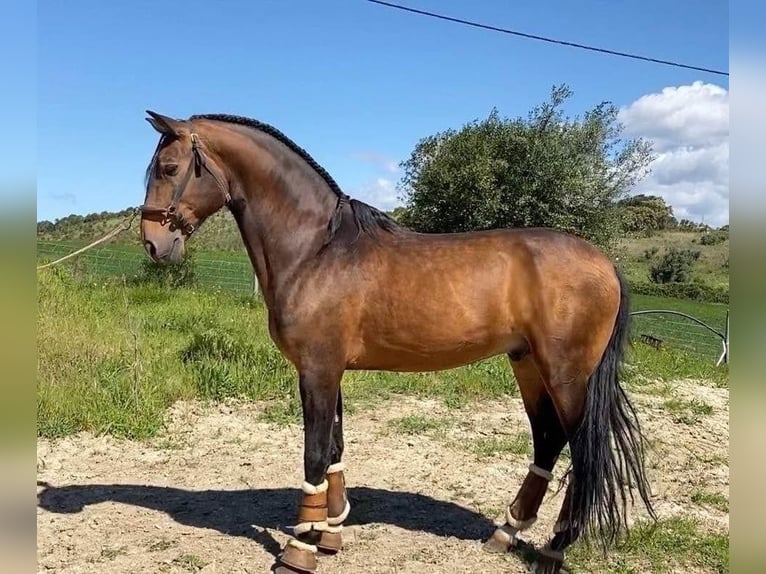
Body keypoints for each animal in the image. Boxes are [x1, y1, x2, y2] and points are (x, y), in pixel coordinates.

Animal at [139, 110, 655, 574]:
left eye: (169, 168)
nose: (152, 244)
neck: (317, 249)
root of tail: (606, 263)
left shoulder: (317, 370)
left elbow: (313, 453)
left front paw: (299, 550)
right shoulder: (329, 371)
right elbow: (335, 449)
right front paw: (330, 534)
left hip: (565, 373)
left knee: (583, 452)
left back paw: (553, 549)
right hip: (527, 363)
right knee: (548, 438)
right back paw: (506, 533)